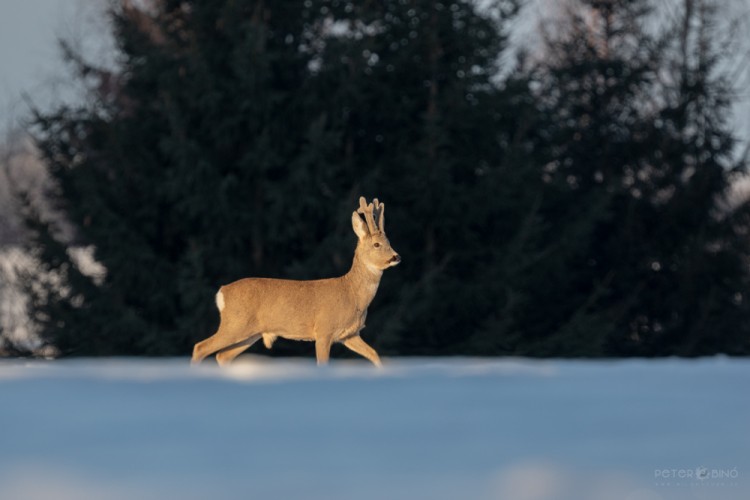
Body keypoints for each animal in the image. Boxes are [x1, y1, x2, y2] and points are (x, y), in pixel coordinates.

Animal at [194, 196, 402, 368]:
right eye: (376, 244)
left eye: (389, 242)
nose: (396, 257)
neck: (352, 294)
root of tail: (221, 292)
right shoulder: (324, 330)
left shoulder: (350, 334)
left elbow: (375, 355)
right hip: (235, 323)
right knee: (200, 347)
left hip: (249, 332)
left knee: (222, 355)